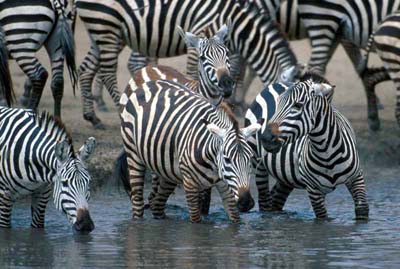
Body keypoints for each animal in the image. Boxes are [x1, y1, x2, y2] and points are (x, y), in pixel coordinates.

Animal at [75, 0, 300, 127]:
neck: (238, 24)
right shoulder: (200, 32)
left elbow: (237, 70)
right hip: (107, 27)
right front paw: (233, 104)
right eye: (280, 101)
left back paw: (92, 117)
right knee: (108, 72)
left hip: (102, 31)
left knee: (86, 68)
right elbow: (214, 71)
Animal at [115, 78, 262, 222]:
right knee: (138, 203)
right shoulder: (190, 183)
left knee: (156, 204)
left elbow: (235, 218)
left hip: (167, 169)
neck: (213, 164)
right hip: (133, 153)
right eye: (227, 159)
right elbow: (196, 221)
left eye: (250, 159)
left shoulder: (226, 185)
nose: (246, 202)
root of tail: (150, 83)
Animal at [245, 78, 370, 219]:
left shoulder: (356, 178)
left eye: (298, 105)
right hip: (258, 164)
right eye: (277, 105)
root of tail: (278, 83)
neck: (327, 152)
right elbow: (322, 218)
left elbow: (362, 210)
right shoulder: (313, 190)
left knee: (276, 199)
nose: (265, 138)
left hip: (287, 176)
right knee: (264, 201)